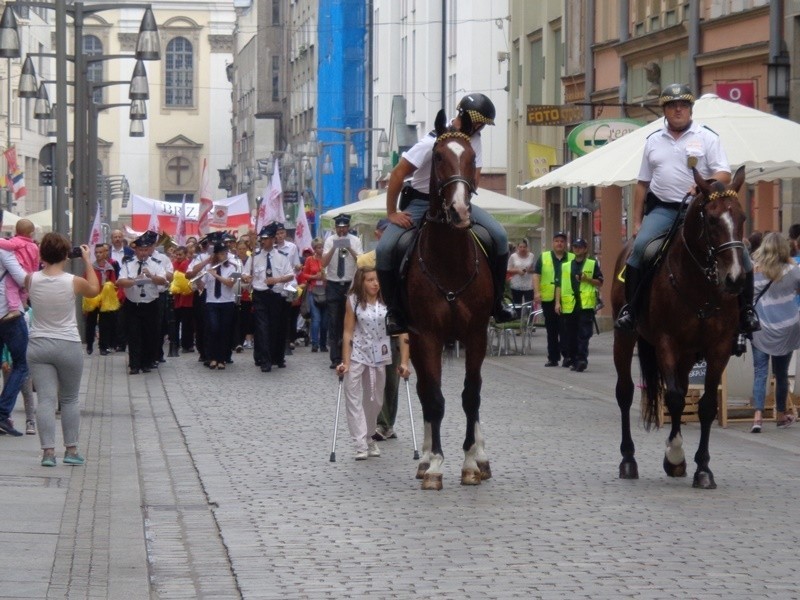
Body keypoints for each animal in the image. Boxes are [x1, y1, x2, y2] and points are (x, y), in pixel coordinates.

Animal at [612, 164, 752, 488]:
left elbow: (706, 404)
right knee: (625, 392)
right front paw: (675, 454)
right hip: (625, 338)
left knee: (685, 386)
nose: (735, 279)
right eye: (712, 219)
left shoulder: (718, 348)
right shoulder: (667, 342)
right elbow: (674, 398)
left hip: (689, 355)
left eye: (742, 218)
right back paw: (628, 460)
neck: (701, 283)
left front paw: (702, 468)